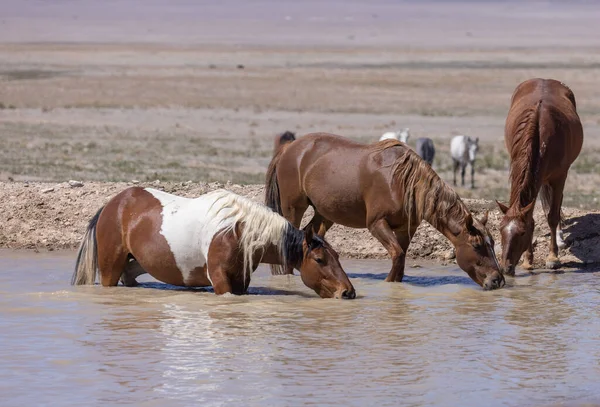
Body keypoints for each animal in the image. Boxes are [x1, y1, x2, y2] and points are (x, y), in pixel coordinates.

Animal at [73, 188, 358, 300]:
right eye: (319, 260)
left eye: (338, 258)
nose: (348, 292)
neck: (237, 231)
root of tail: (113, 204)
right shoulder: (220, 279)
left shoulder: (241, 280)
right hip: (109, 269)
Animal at [264, 133, 504, 290]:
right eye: (477, 245)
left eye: (492, 243)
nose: (497, 280)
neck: (403, 182)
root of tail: (289, 147)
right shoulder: (377, 223)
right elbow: (397, 255)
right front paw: (388, 285)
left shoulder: (406, 229)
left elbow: (402, 258)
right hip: (294, 208)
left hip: (325, 214)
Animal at [494, 78, 584, 276]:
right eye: (500, 230)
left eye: (521, 233)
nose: (505, 268)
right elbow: (533, 218)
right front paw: (528, 261)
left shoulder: (560, 177)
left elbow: (552, 216)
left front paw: (553, 258)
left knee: (556, 205)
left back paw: (560, 237)